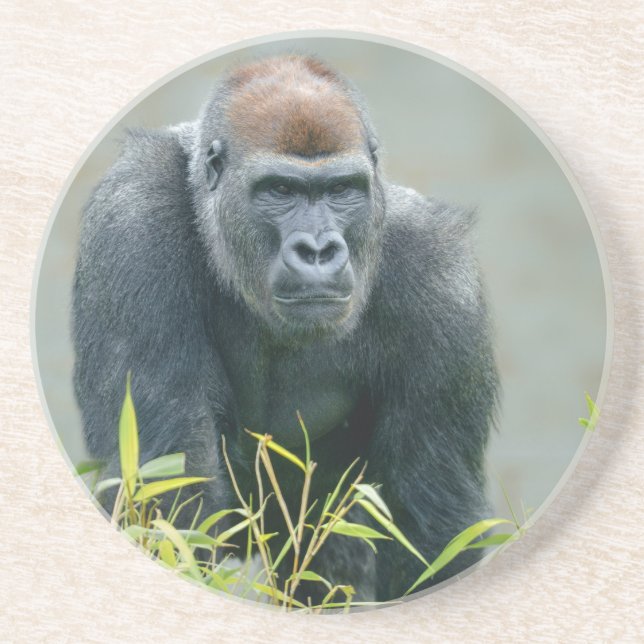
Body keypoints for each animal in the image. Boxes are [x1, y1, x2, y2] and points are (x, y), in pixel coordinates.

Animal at [72, 55, 498, 602]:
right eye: (280, 190)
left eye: (340, 190)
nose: (317, 250)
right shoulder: (131, 222)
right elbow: (170, 491)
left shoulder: (442, 277)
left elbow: (430, 530)